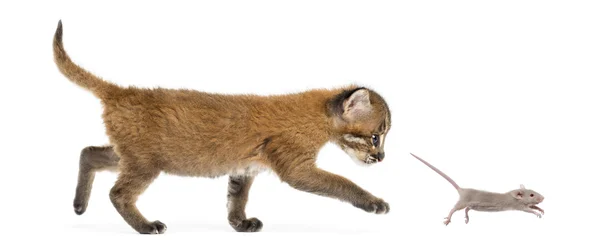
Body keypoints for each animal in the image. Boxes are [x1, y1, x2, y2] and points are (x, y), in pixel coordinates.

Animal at [54, 20, 392, 234]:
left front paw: (240, 224)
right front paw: (374, 203)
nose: (382, 158)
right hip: (145, 162)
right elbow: (342, 182)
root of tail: (122, 91)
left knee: (88, 152)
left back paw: (79, 205)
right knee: (119, 193)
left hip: (131, 154)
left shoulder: (244, 167)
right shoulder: (297, 168)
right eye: (376, 137)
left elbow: (236, 198)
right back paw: (146, 227)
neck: (320, 115)